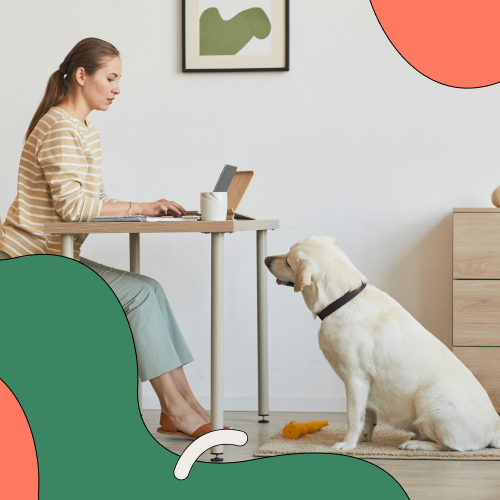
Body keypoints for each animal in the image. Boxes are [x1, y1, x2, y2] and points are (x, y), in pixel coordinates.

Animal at [266, 236, 500, 452]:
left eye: (288, 261)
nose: (266, 259)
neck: (342, 300)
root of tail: (494, 430)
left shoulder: (355, 379)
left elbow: (353, 417)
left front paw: (348, 444)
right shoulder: (366, 386)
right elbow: (367, 416)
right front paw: (364, 438)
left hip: (429, 394)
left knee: (452, 446)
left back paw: (416, 444)